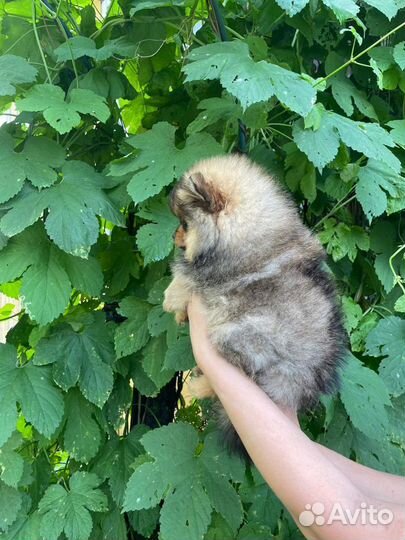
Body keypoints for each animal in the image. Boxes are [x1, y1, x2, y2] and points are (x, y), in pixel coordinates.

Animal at [163, 154, 346, 454]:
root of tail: (303, 380)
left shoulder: (210, 275)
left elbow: (185, 278)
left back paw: (197, 387)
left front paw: (170, 300)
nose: (173, 236)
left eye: (185, 224)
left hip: (235, 335)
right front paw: (180, 315)